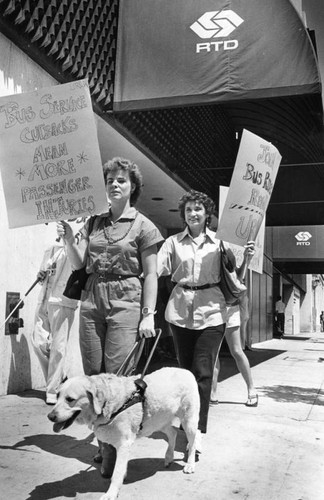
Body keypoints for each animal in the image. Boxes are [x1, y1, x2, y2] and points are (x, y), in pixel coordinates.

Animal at [48, 368, 200, 500]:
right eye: (57, 395)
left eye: (70, 399)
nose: (50, 416)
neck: (109, 402)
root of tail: (186, 371)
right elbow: (120, 467)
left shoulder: (124, 444)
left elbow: (117, 472)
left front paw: (111, 493)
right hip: (158, 421)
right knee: (173, 432)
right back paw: (169, 457)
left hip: (188, 420)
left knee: (193, 440)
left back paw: (190, 464)